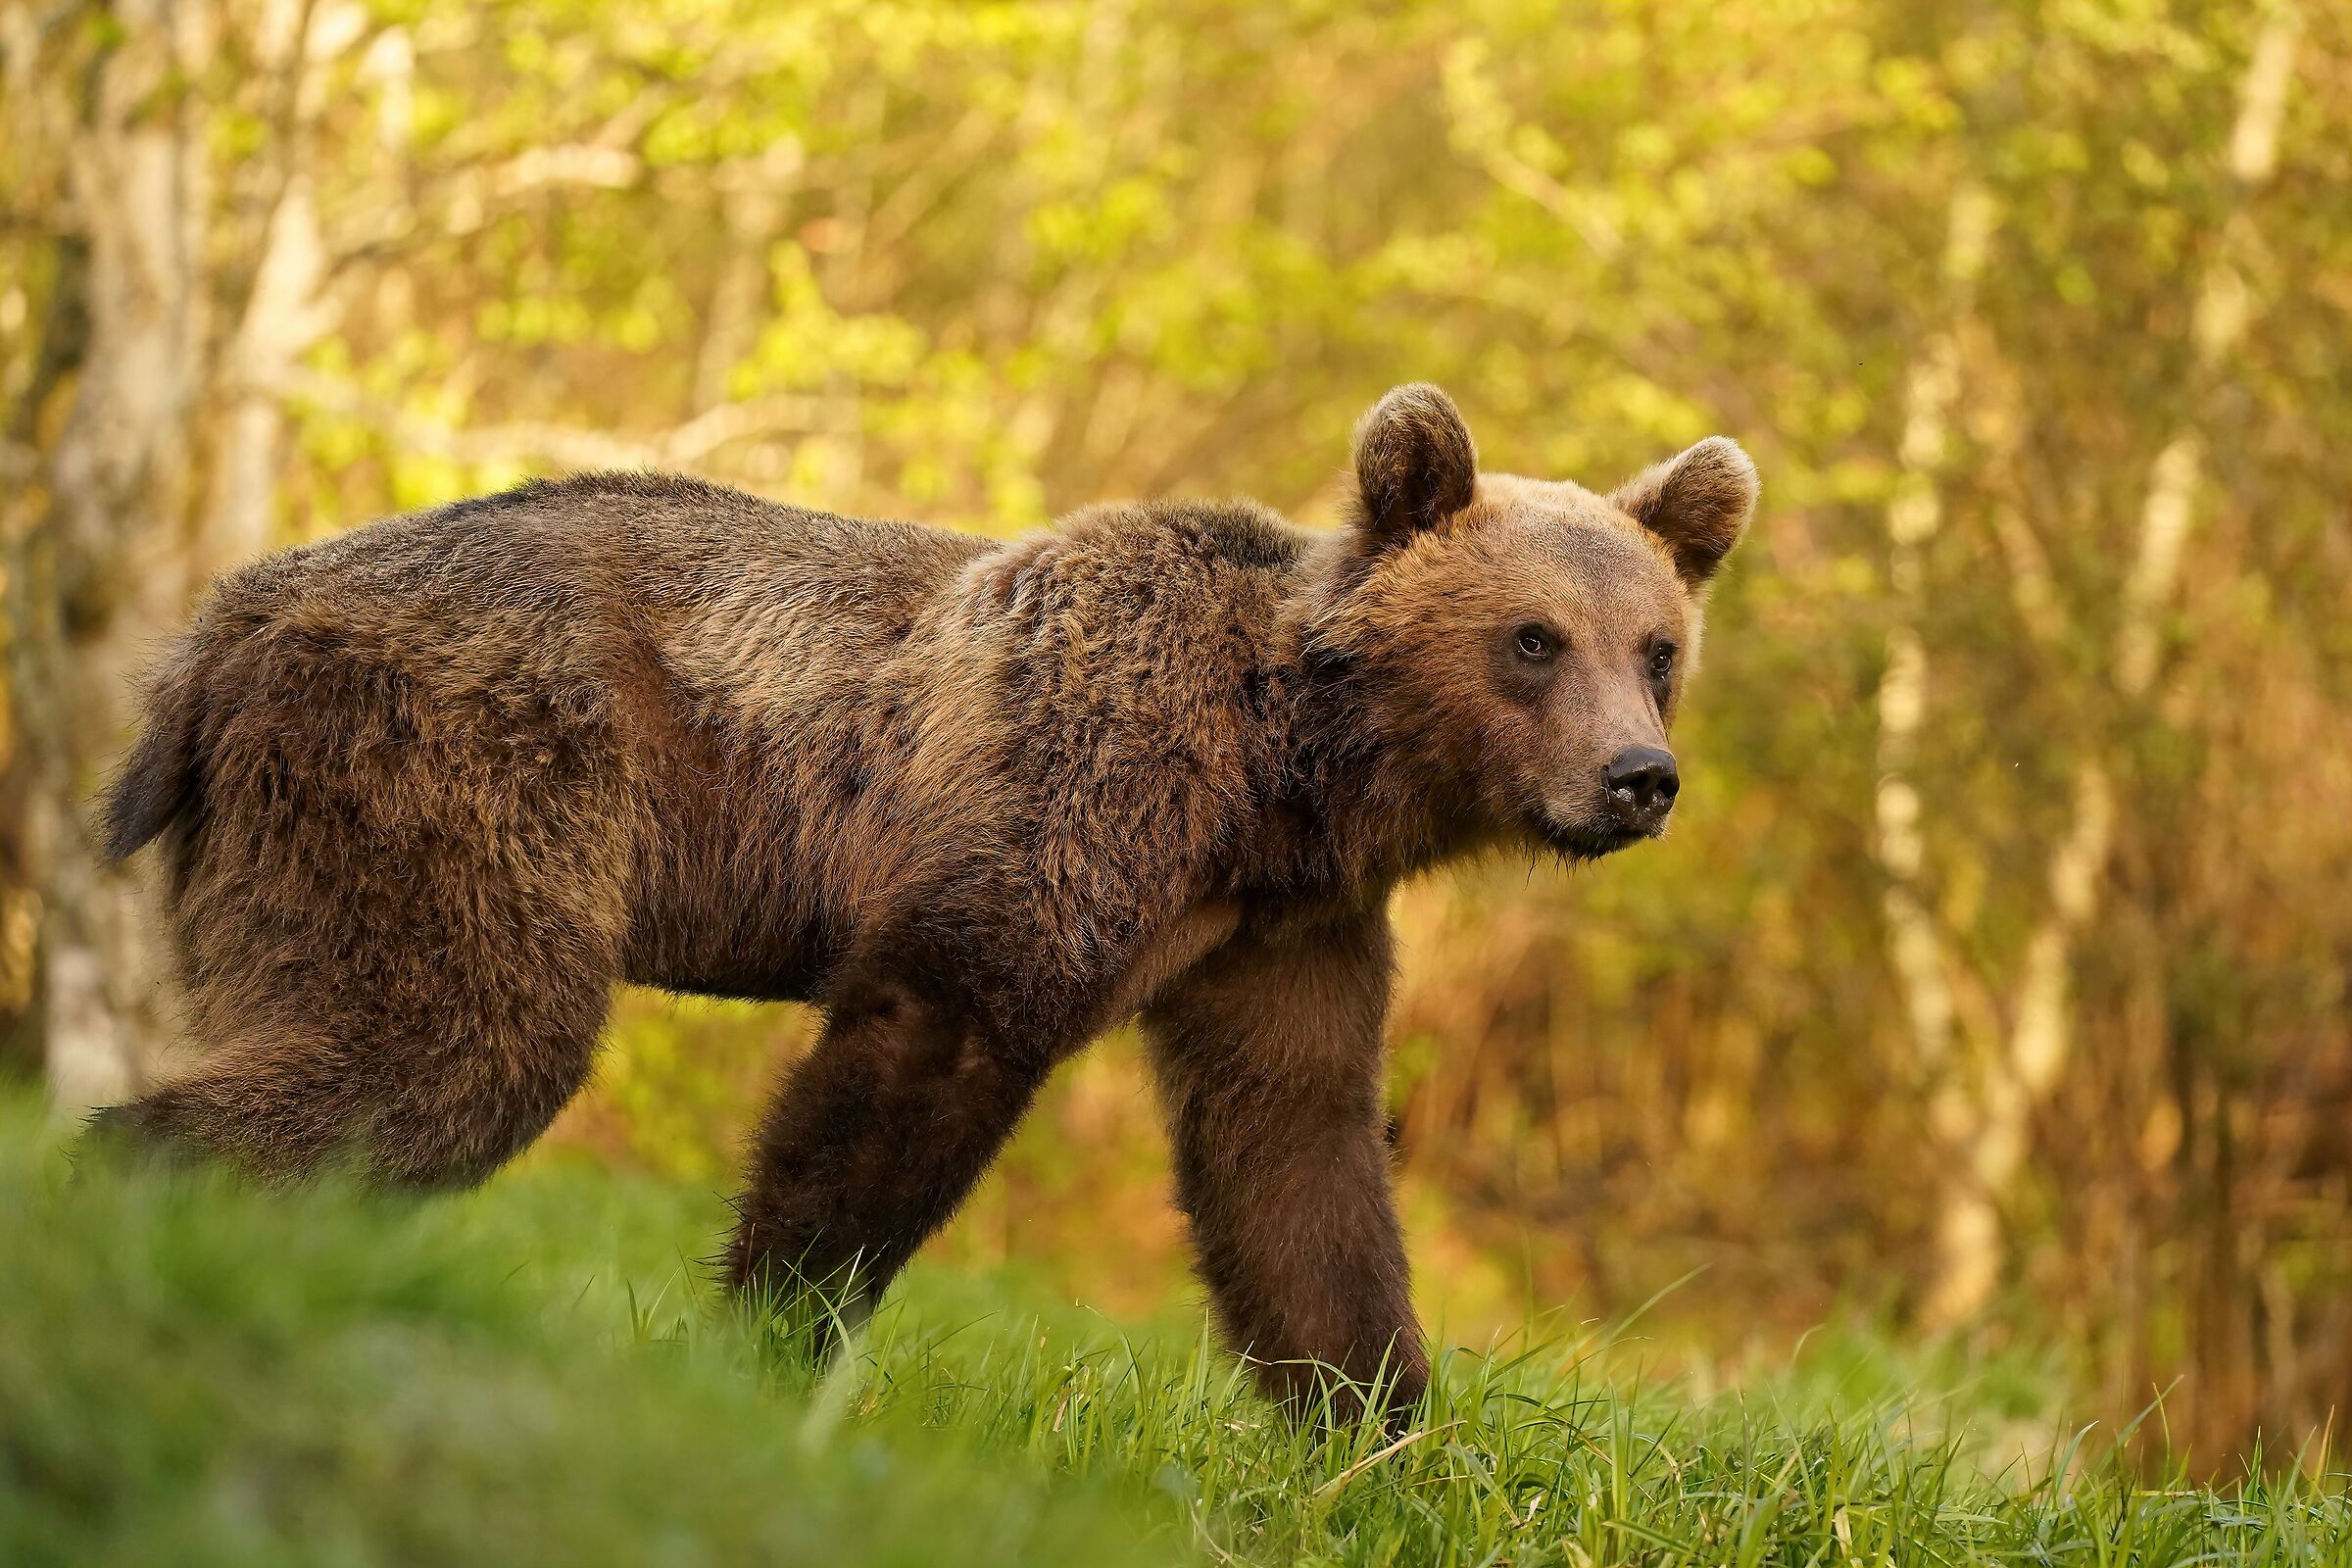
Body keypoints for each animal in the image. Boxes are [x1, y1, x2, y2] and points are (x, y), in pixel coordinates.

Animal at [91, 382, 1755, 1423]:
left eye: (1657, 645)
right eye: (1533, 639)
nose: (1638, 777)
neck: (1282, 776)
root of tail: (223, 620)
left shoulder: (1281, 935)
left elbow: (1297, 1167)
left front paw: (1381, 1439)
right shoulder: (1066, 800)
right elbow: (922, 1057)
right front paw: (768, 1345)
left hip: (275, 844)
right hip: (463, 771)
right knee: (454, 1042)